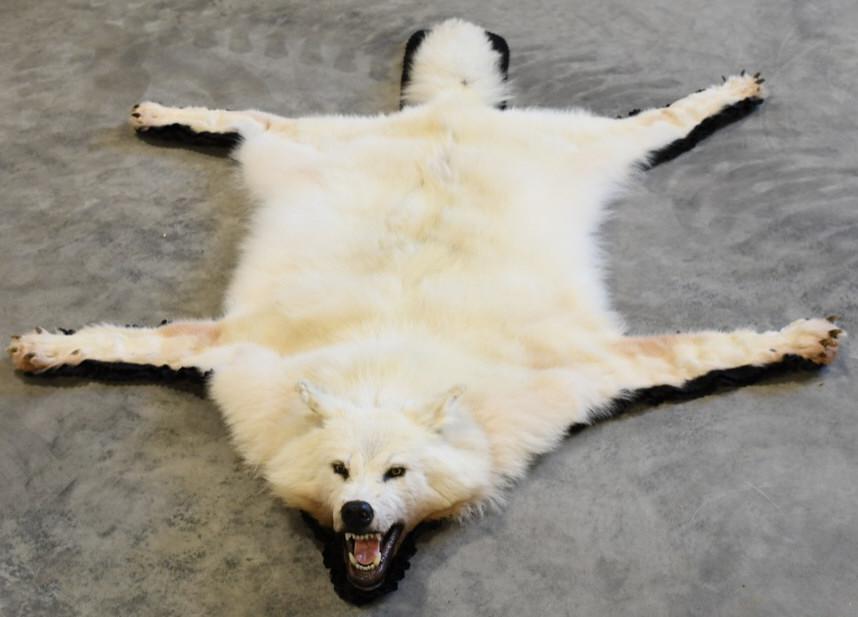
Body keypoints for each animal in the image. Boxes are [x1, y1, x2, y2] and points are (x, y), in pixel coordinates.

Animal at [7, 18, 843, 602]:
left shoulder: (595, 362)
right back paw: (164, 110)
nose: (357, 513)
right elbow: (125, 339)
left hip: (597, 144)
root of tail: (452, 110)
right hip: (304, 142)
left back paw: (729, 92)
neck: (388, 362)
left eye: (396, 472)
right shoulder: (235, 343)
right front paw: (50, 346)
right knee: (246, 114)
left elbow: (710, 347)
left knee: (663, 119)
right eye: (341, 470)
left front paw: (794, 338)